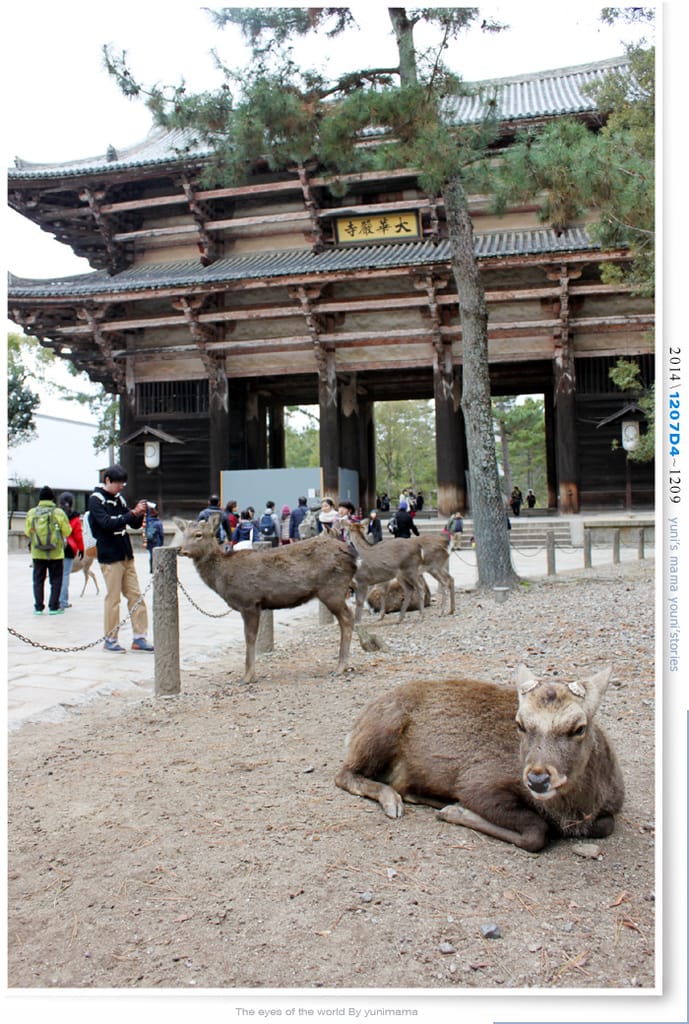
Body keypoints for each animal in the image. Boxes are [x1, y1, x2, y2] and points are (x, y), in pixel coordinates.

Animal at [175, 516, 357, 684]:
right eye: (184, 533)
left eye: (198, 534)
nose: (180, 549)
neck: (223, 577)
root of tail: (353, 557)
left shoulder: (248, 601)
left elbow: (249, 638)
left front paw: (247, 677)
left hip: (332, 590)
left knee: (348, 617)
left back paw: (340, 667)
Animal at [335, 664, 624, 852]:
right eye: (520, 724)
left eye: (579, 727)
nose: (538, 779)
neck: (574, 809)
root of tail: (355, 725)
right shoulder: (477, 782)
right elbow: (536, 831)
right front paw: (457, 810)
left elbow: (605, 825)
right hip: (381, 728)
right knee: (344, 773)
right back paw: (392, 800)